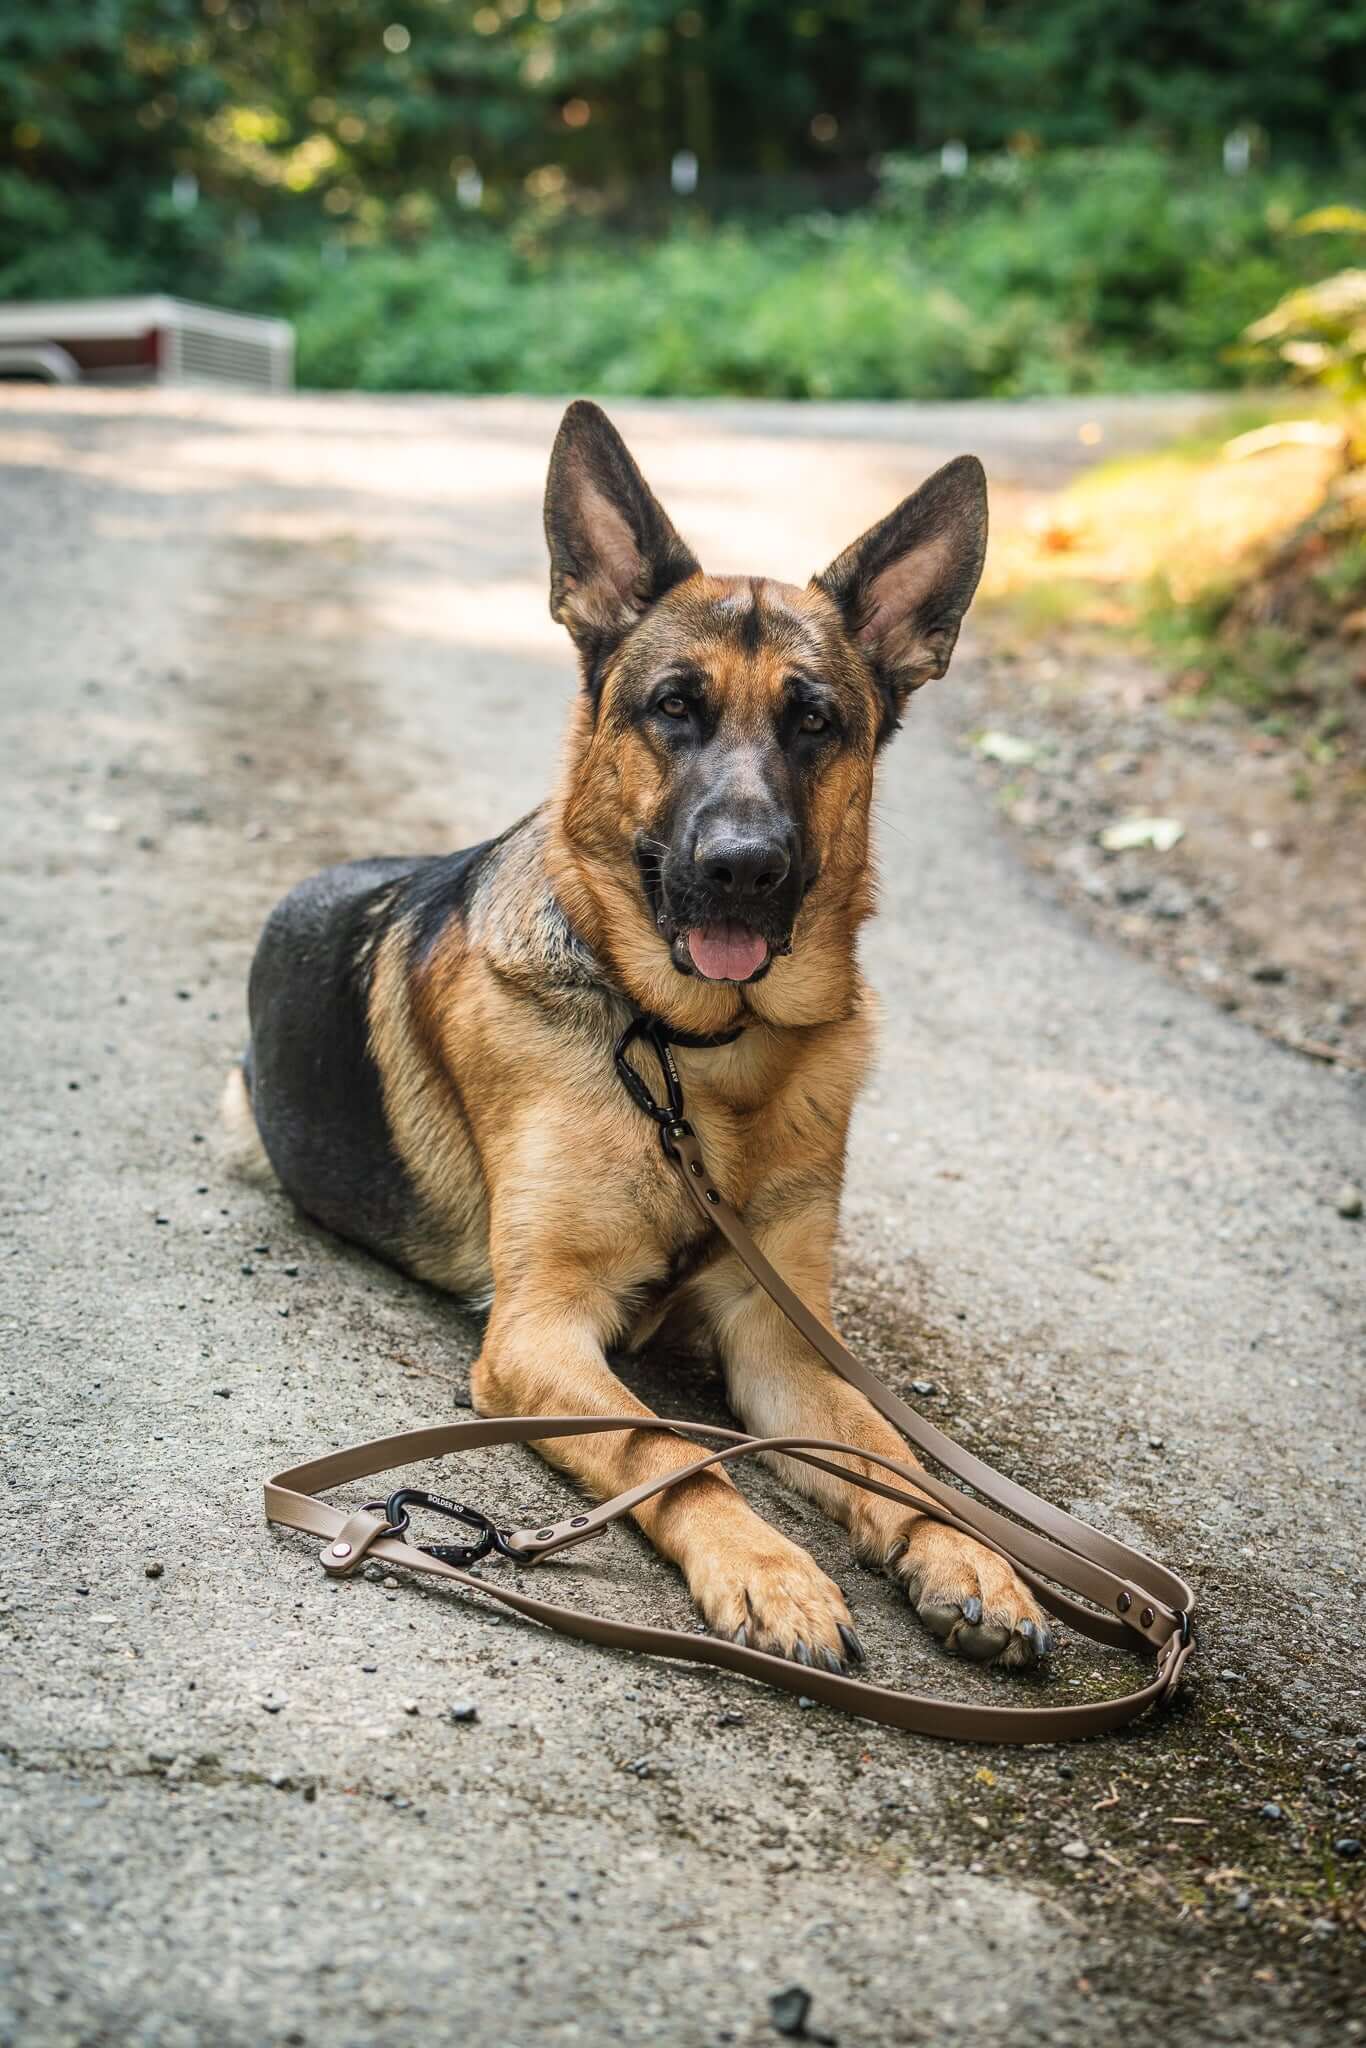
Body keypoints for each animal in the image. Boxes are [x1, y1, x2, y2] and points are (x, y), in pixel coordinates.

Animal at [229, 403, 1056, 1679]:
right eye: (673, 705)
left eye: (814, 720)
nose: (743, 866)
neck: (689, 1053)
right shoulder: (540, 1332)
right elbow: (669, 1446)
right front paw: (766, 1569)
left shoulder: (781, 1338)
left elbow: (889, 1456)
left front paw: (964, 1554)